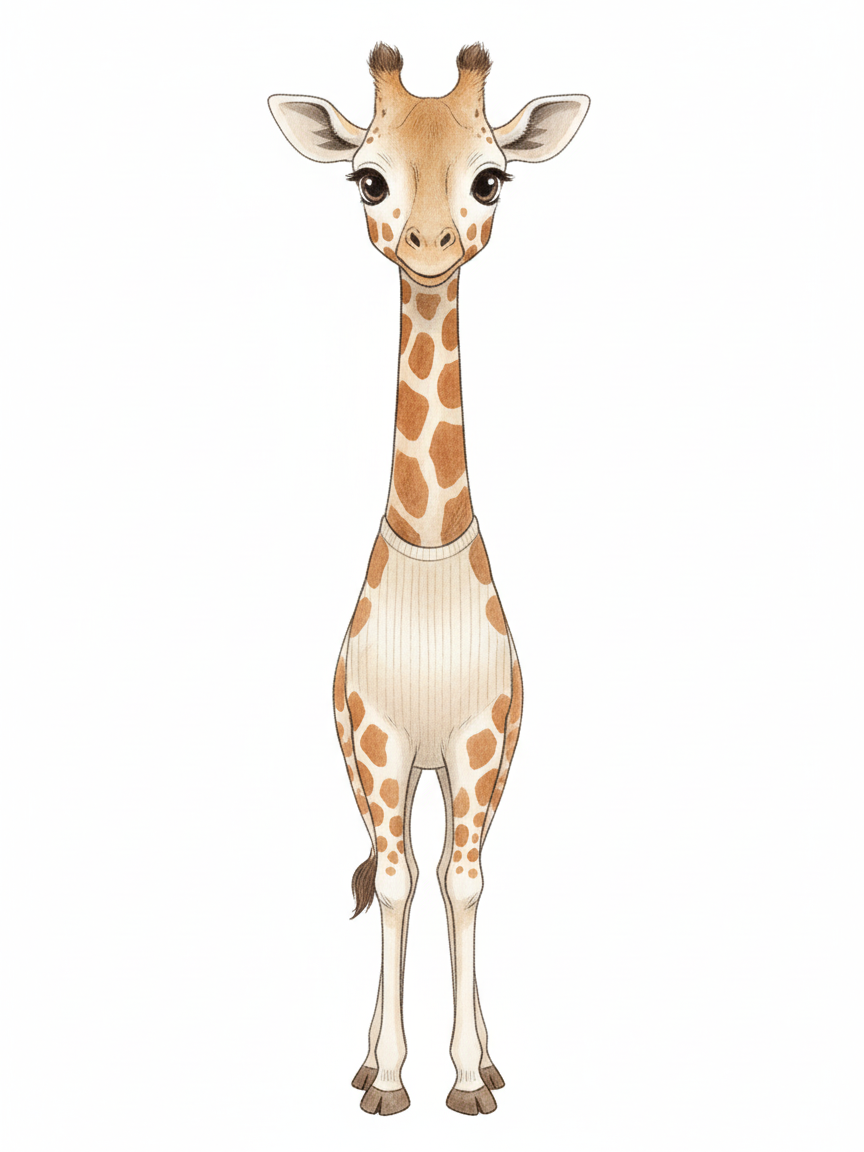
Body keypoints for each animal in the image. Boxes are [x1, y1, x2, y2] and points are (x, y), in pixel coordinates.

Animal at [269, 44, 589, 1116]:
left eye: (492, 179)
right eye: (367, 179)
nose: (430, 243)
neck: (429, 538)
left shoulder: (479, 742)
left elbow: (464, 884)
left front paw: (470, 1079)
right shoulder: (377, 742)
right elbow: (399, 884)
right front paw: (387, 1081)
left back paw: (486, 1055)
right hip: (377, 763)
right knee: (391, 867)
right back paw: (370, 1056)